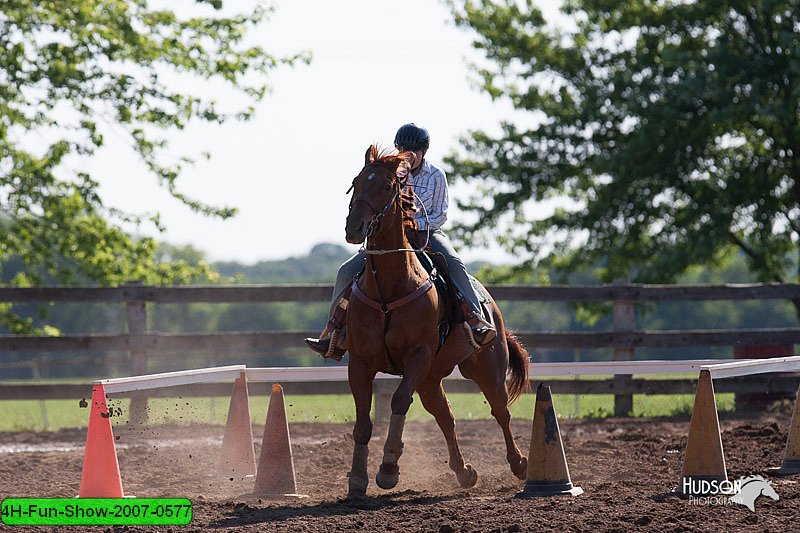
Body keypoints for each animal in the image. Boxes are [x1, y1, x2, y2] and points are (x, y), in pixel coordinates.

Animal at [344, 143, 532, 496]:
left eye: (386, 186)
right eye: (356, 183)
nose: (354, 227)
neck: (389, 290)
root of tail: (491, 306)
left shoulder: (418, 355)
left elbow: (399, 401)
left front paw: (388, 469)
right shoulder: (359, 362)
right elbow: (362, 422)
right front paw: (357, 479)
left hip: (486, 367)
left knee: (500, 411)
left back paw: (519, 464)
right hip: (431, 379)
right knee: (445, 416)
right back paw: (464, 471)